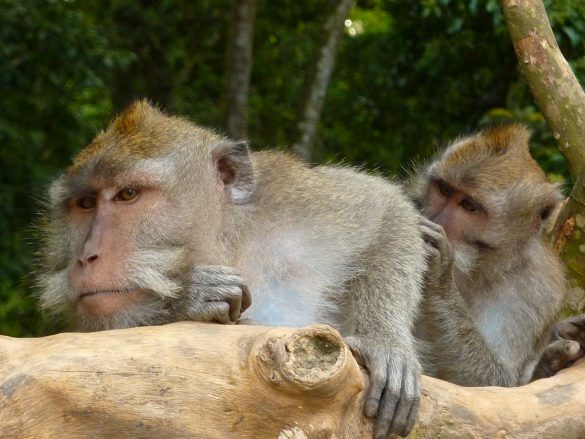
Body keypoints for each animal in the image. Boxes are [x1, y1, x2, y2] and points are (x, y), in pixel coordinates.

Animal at [40, 99, 424, 439]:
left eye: (128, 194)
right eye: (85, 203)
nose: (87, 256)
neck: (227, 245)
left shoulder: (295, 202)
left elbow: (386, 210)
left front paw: (384, 344)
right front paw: (190, 297)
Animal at [408, 124, 568, 384]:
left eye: (469, 205)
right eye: (444, 190)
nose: (435, 219)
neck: (476, 266)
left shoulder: (537, 289)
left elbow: (498, 381)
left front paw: (440, 275)